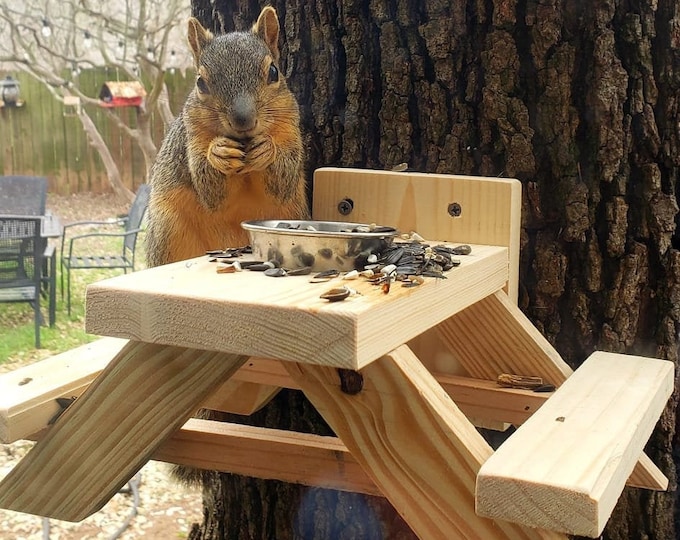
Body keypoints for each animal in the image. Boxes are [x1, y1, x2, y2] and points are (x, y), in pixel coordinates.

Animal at [145, 7, 308, 268]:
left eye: (274, 72)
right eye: (200, 82)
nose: (243, 120)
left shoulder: (290, 127)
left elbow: (283, 181)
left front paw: (266, 149)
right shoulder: (193, 134)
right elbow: (210, 191)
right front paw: (219, 152)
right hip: (167, 231)